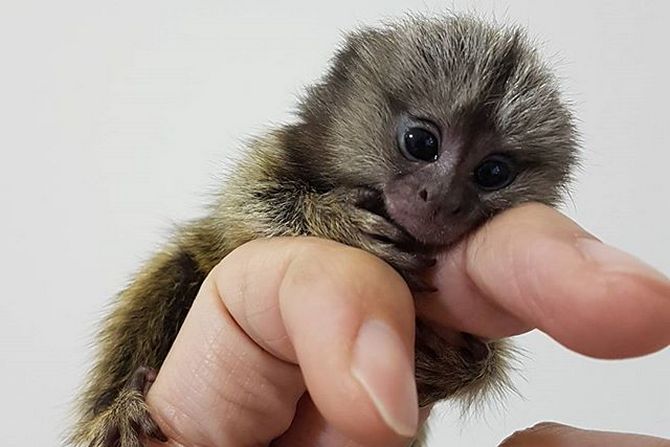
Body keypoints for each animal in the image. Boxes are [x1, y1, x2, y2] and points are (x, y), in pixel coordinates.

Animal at [71, 14, 580, 447]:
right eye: (421, 143)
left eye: (492, 173)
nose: (441, 199)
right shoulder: (275, 155)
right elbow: (244, 207)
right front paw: (337, 224)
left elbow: (488, 358)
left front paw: (454, 366)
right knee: (176, 267)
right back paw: (117, 408)